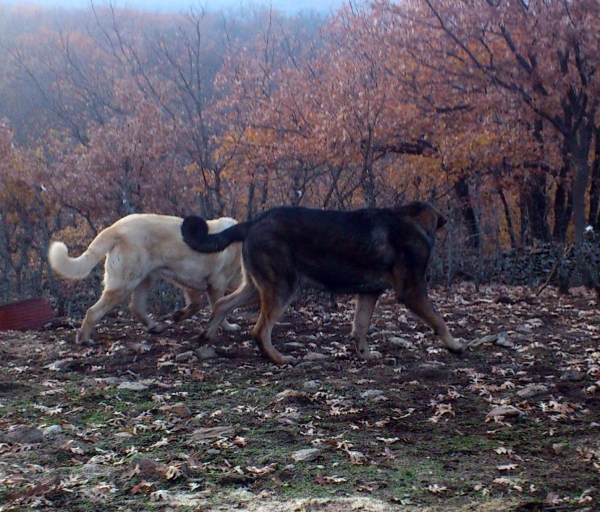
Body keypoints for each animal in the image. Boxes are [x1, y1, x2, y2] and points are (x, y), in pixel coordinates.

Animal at [47, 212, 241, 344]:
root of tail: (114, 228)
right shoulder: (216, 284)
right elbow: (219, 308)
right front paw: (228, 327)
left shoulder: (189, 281)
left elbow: (197, 304)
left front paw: (179, 315)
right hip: (124, 284)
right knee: (93, 311)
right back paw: (84, 339)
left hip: (143, 279)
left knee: (136, 307)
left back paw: (154, 326)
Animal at [182, 202, 464, 366]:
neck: (412, 221)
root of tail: (252, 223)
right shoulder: (411, 290)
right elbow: (438, 320)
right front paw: (454, 345)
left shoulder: (369, 293)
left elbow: (360, 326)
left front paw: (364, 354)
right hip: (282, 287)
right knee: (260, 331)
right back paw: (279, 359)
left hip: (257, 286)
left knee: (222, 303)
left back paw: (206, 336)